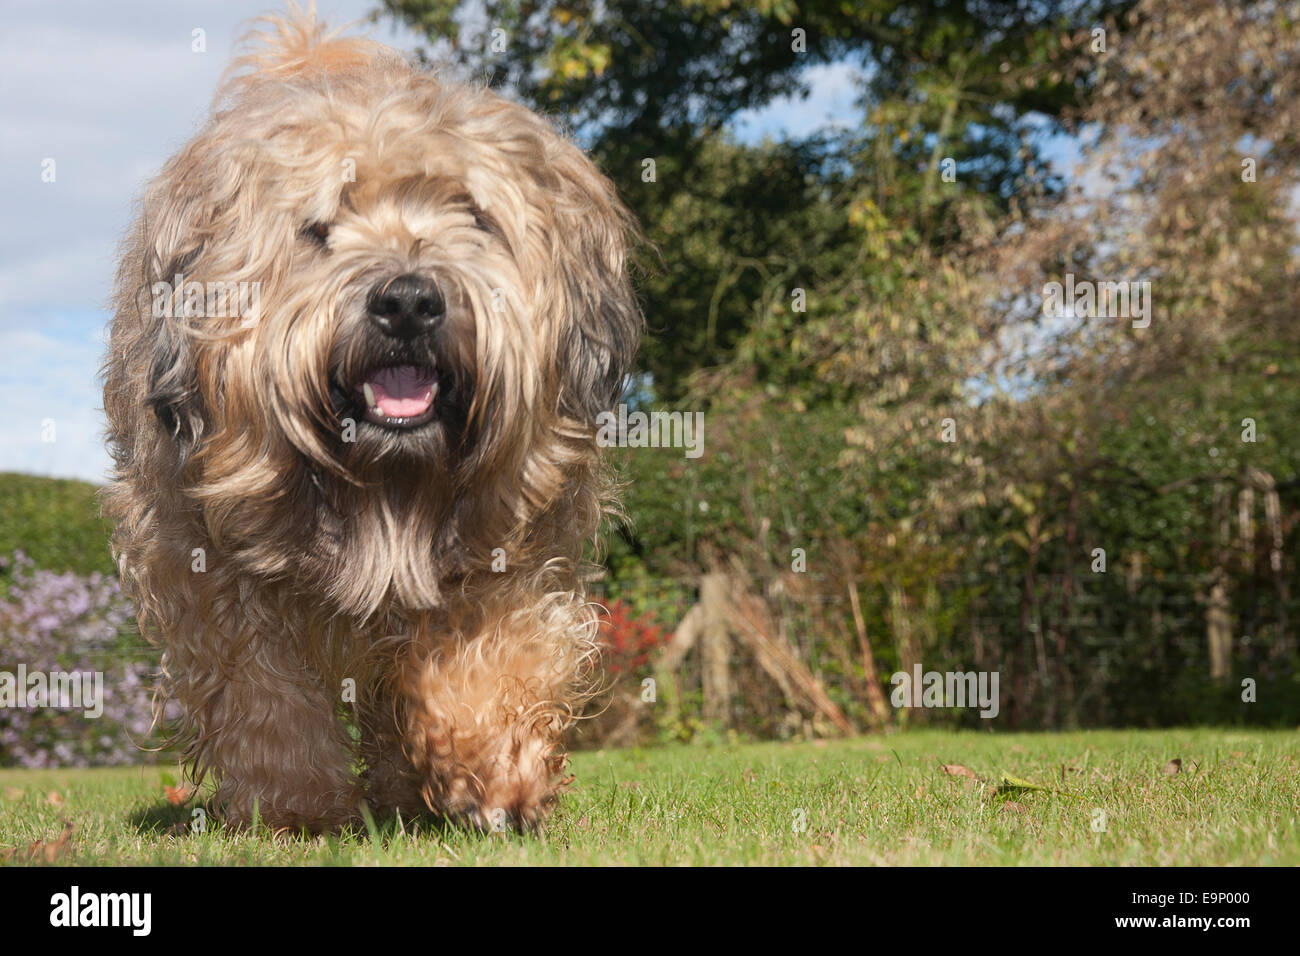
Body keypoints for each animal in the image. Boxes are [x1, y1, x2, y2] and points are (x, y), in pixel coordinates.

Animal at [101, 9, 639, 832]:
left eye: (474, 216)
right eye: (318, 228)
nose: (409, 302)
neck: (383, 483)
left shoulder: (511, 534)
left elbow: (495, 646)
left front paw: (494, 768)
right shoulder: (201, 560)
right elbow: (264, 691)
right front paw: (294, 804)